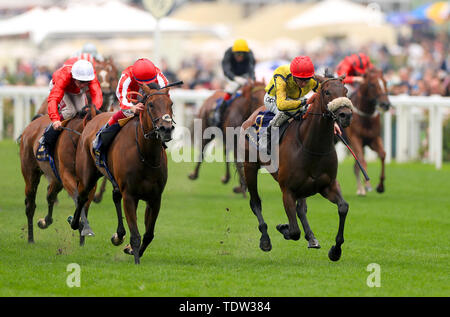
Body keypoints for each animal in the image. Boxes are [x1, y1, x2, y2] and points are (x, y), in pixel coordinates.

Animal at [18, 106, 98, 244]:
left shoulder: (90, 183)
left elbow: (85, 204)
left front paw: (82, 239)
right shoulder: (66, 176)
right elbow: (79, 199)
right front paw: (77, 224)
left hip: (56, 179)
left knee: (50, 195)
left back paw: (45, 221)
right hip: (31, 175)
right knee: (30, 206)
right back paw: (31, 239)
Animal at [69, 82, 175, 262]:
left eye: (171, 104)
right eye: (150, 105)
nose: (166, 129)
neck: (145, 154)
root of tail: (93, 118)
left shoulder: (154, 198)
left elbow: (148, 234)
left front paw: (132, 250)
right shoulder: (130, 195)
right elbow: (136, 235)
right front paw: (136, 261)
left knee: (115, 196)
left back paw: (118, 235)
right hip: (87, 174)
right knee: (82, 196)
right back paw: (76, 223)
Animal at [241, 75, 354, 260]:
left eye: (346, 91)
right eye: (327, 92)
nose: (346, 115)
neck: (312, 145)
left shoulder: (328, 185)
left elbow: (343, 207)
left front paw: (335, 250)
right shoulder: (287, 190)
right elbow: (294, 231)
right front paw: (283, 228)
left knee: (301, 209)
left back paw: (311, 237)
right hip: (249, 167)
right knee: (255, 202)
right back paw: (265, 239)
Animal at [344, 66, 390, 195]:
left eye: (385, 82)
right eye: (372, 84)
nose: (385, 104)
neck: (366, 115)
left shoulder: (373, 139)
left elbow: (383, 155)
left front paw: (380, 186)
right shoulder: (355, 139)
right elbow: (362, 160)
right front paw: (368, 185)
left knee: (355, 167)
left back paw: (360, 190)